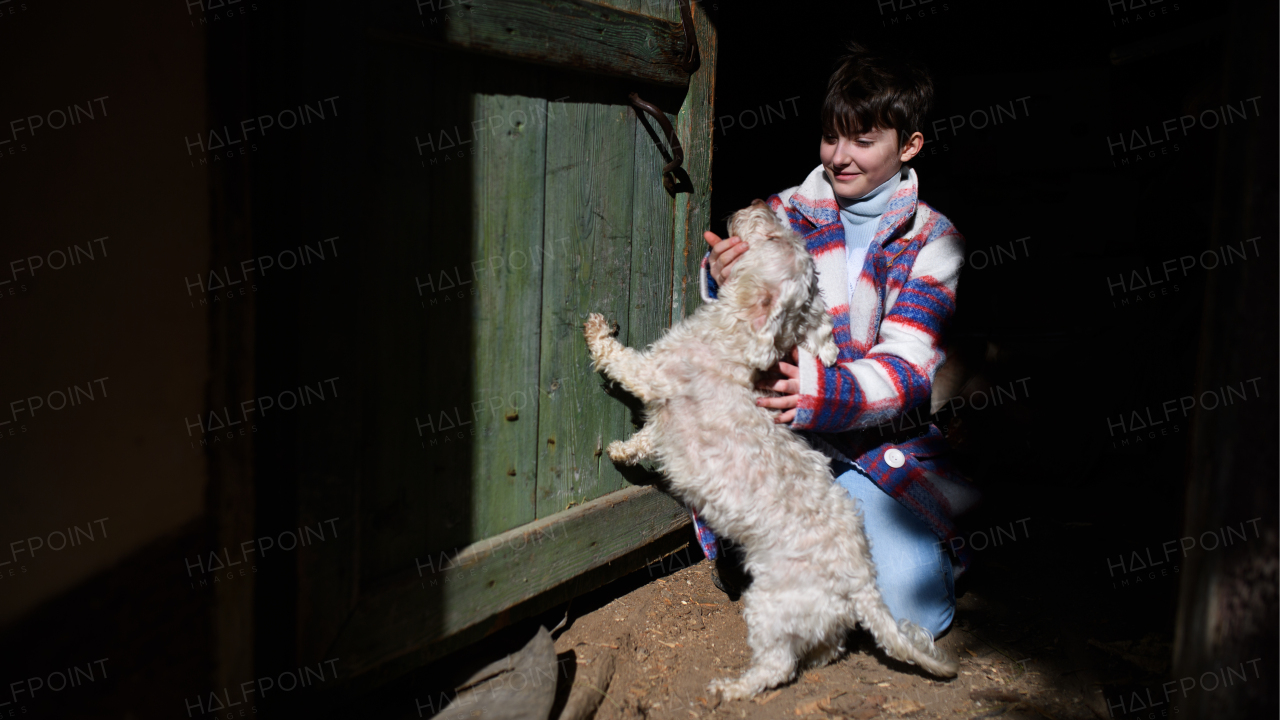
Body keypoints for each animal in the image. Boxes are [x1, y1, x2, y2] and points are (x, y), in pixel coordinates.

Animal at [586, 198, 957, 696]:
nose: (760, 201)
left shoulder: (654, 375)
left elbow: (619, 359)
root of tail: (862, 582)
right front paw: (623, 450)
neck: (734, 338)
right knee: (828, 647)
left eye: (776, 238)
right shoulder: (665, 416)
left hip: (769, 604)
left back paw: (730, 689)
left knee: (777, 666)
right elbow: (649, 437)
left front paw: (596, 330)